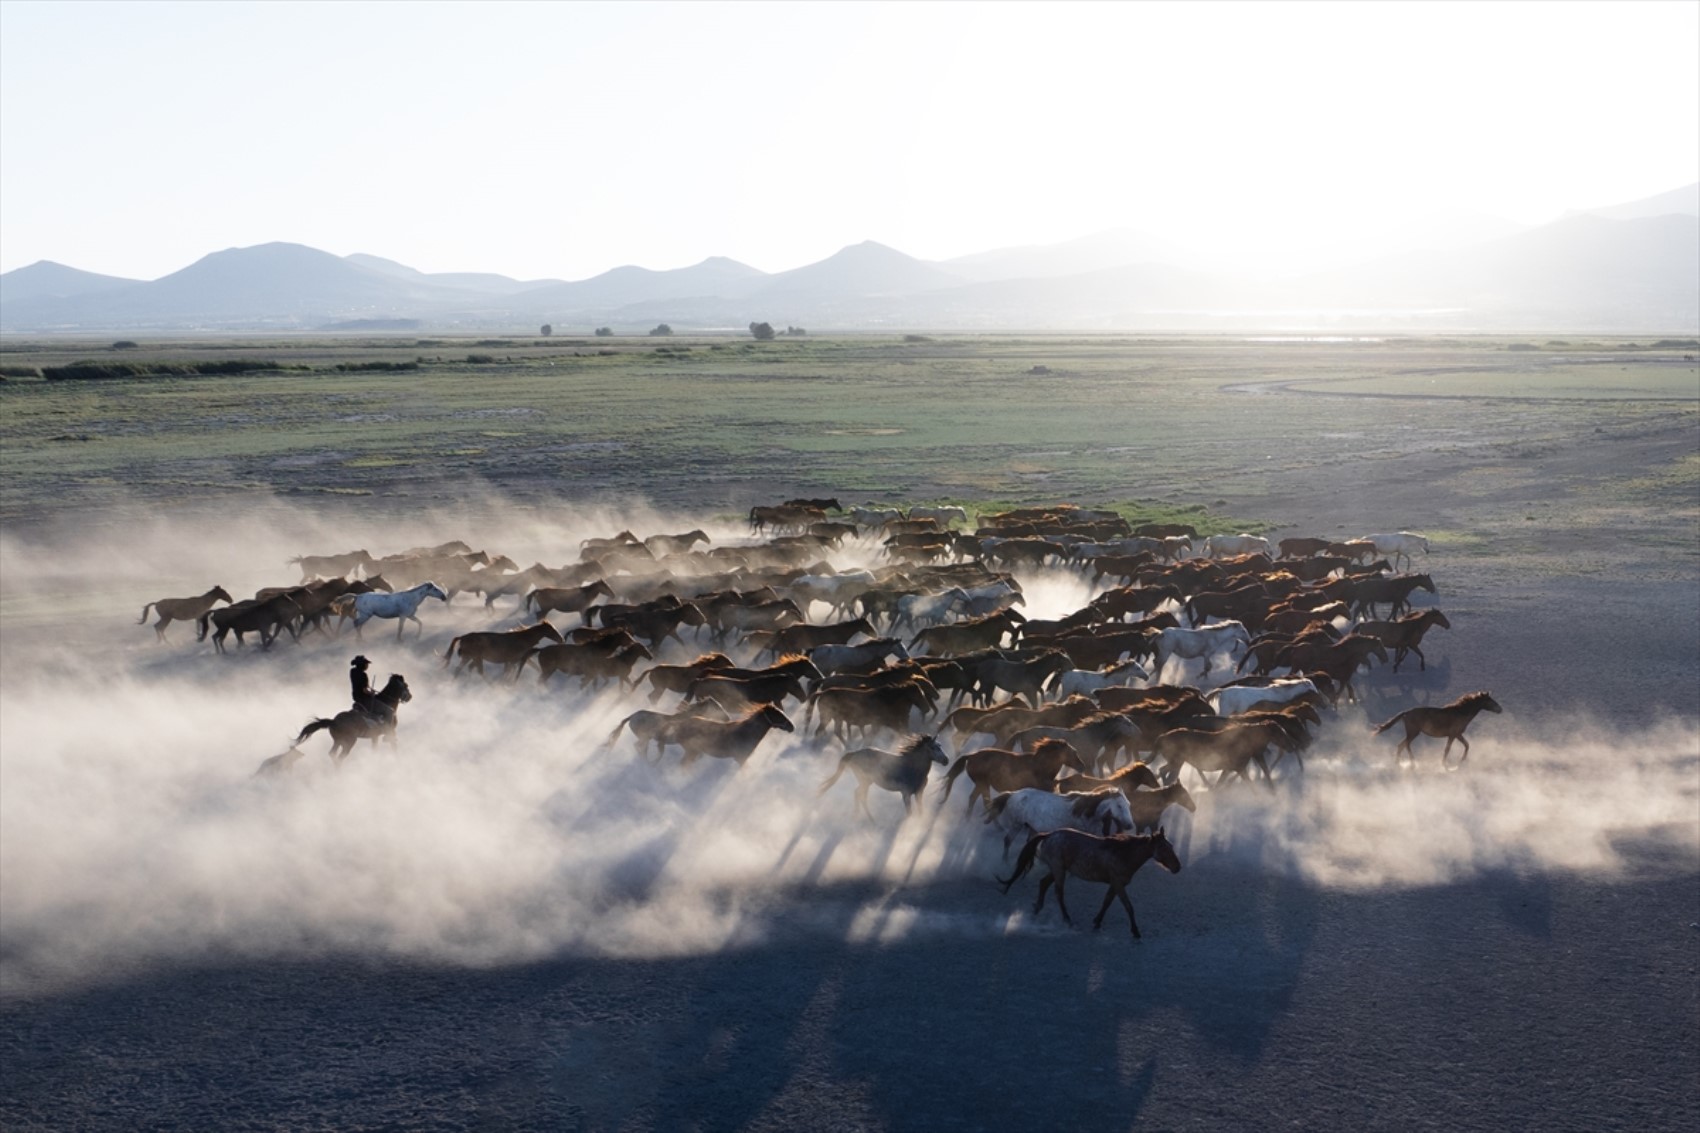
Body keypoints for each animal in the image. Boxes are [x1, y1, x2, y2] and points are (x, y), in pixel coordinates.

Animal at [986, 785, 1128, 857]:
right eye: (1119, 806)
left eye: (1128, 804)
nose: (1129, 824)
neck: (1086, 811)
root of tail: (1013, 794)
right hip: (1017, 825)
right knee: (1007, 841)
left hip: (1030, 827)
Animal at [992, 819, 1183, 932]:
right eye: (1164, 848)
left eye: (1171, 846)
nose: (1178, 867)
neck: (1123, 853)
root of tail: (1048, 835)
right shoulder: (1118, 883)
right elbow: (1128, 906)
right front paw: (1135, 932)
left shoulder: (1115, 884)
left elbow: (1107, 902)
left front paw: (1097, 921)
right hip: (1059, 870)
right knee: (1058, 893)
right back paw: (1067, 919)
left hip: (1057, 869)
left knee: (1043, 883)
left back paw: (1037, 909)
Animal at [1366, 687, 1502, 768]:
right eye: (1490, 700)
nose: (1500, 709)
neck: (1461, 712)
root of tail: (1406, 713)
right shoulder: (1453, 735)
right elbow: (1448, 749)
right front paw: (1445, 763)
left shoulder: (1458, 735)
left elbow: (1467, 745)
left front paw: (1461, 761)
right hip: (1413, 732)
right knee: (1405, 744)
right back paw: (1410, 762)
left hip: (1412, 733)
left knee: (1402, 745)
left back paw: (1400, 763)